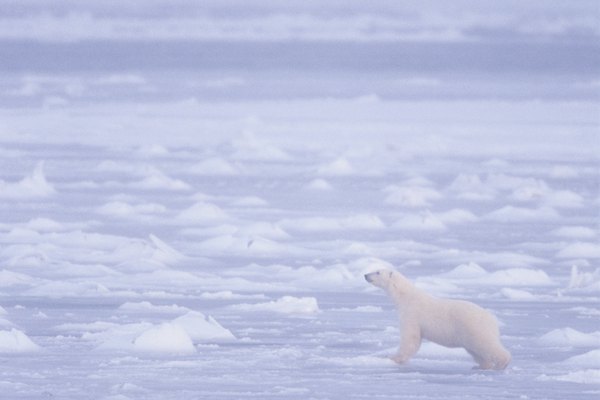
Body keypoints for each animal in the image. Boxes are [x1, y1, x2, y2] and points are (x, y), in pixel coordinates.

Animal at [366, 268, 510, 370]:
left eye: (378, 271)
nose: (365, 275)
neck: (405, 296)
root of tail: (492, 320)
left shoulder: (412, 314)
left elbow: (411, 339)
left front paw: (393, 358)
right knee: (476, 351)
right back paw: (481, 366)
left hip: (474, 327)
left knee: (486, 345)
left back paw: (502, 363)